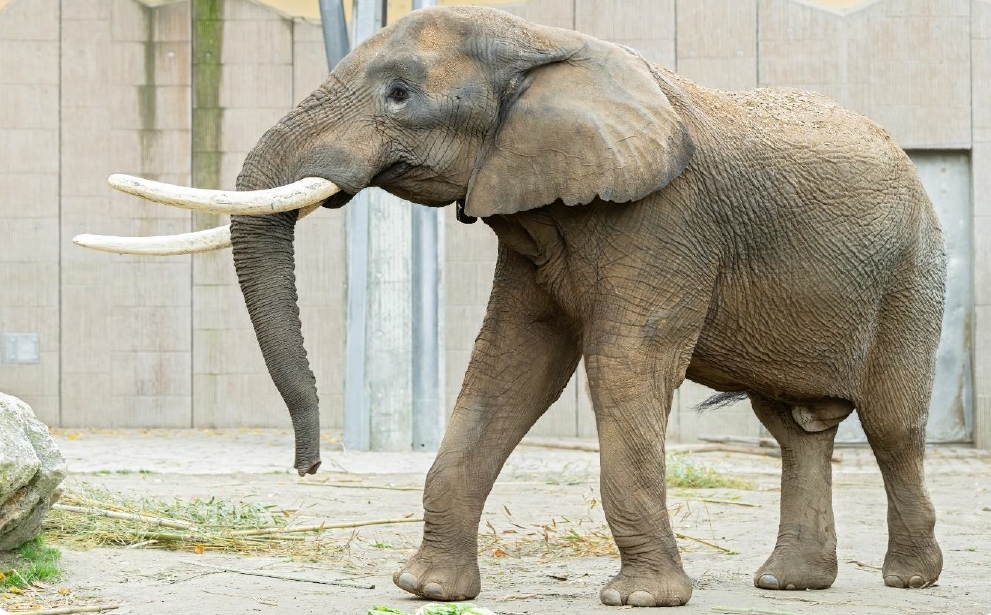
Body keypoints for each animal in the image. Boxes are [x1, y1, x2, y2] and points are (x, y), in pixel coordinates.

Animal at [75, 4, 944, 612]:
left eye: (399, 95)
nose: (309, 466)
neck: (541, 36)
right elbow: (507, 367)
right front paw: (426, 588)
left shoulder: (668, 217)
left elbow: (623, 367)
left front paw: (639, 600)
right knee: (793, 428)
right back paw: (789, 582)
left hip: (914, 268)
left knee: (891, 425)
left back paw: (906, 578)